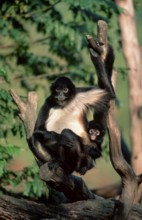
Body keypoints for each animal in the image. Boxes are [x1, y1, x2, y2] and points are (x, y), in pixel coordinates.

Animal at [28, 39, 114, 175]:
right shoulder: (48, 102)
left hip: (82, 158)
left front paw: (94, 55)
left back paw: (67, 167)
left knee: (68, 133)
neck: (65, 104)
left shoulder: (79, 93)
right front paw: (59, 138)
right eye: (57, 90)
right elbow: (38, 129)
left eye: (65, 90)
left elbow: (109, 93)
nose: (60, 95)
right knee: (34, 138)